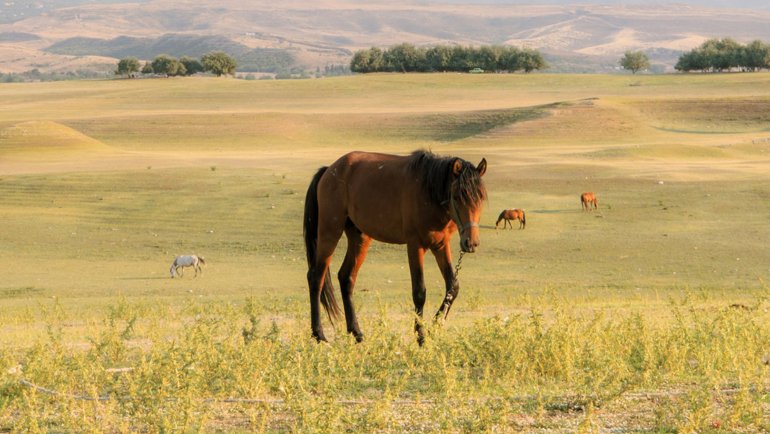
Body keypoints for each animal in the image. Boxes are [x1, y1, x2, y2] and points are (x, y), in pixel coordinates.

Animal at [302, 149, 486, 346]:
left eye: (481, 198)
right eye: (458, 197)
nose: (471, 243)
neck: (428, 192)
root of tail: (330, 170)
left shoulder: (441, 246)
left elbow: (453, 287)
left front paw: (433, 327)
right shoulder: (415, 245)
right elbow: (419, 292)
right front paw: (421, 335)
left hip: (359, 237)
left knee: (347, 277)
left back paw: (357, 333)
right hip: (330, 231)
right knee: (316, 277)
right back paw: (319, 334)